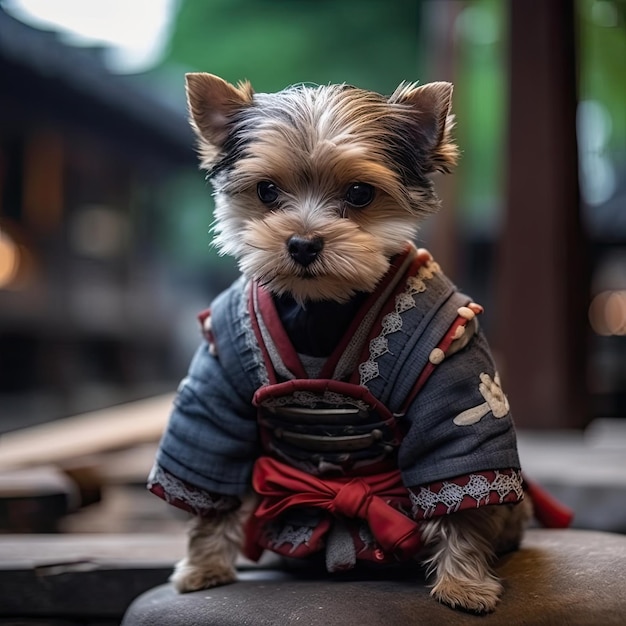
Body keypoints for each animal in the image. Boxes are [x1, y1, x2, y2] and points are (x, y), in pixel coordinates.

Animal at [146, 72, 536, 608]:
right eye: (266, 190)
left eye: (359, 193)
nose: (303, 243)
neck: (322, 308)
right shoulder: (219, 366)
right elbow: (210, 457)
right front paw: (204, 567)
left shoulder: (451, 352)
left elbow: (457, 464)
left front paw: (464, 583)